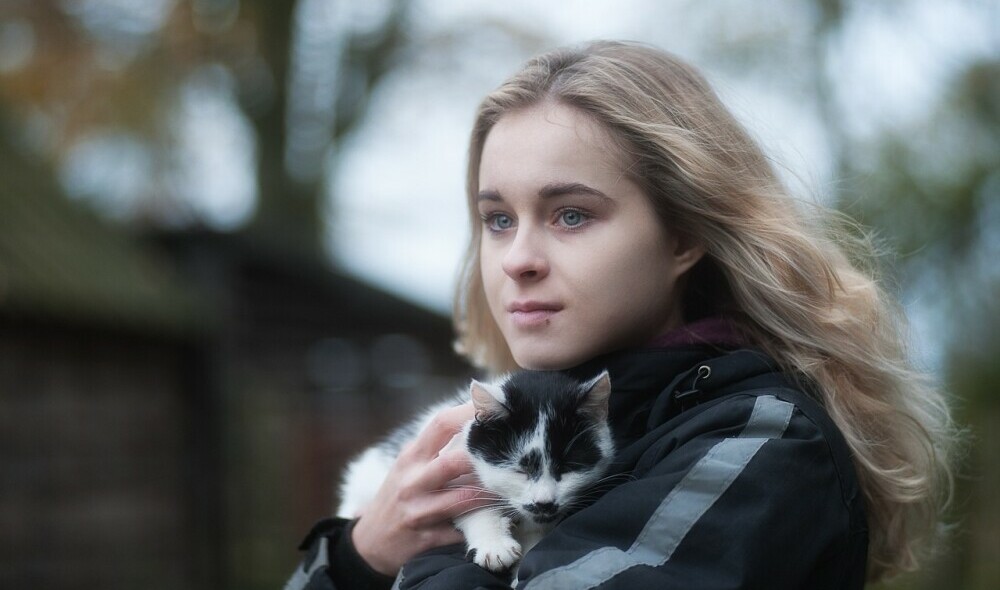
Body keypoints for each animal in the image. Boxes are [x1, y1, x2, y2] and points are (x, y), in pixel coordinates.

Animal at [340, 372, 612, 576]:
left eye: (567, 467)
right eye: (520, 468)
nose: (544, 503)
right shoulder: (450, 461)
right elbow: (470, 502)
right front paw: (494, 545)